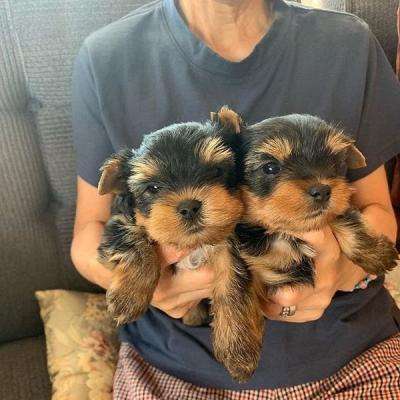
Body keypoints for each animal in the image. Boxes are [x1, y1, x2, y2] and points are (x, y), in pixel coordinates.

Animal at [97, 108, 266, 382]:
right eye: (153, 188)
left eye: (216, 171)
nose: (189, 206)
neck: (192, 243)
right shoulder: (118, 222)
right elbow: (135, 240)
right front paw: (128, 297)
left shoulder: (231, 245)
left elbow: (233, 286)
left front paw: (239, 350)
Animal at [236, 112, 398, 296]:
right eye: (270, 168)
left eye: (335, 162)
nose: (322, 191)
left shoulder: (340, 205)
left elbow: (344, 218)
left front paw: (377, 254)